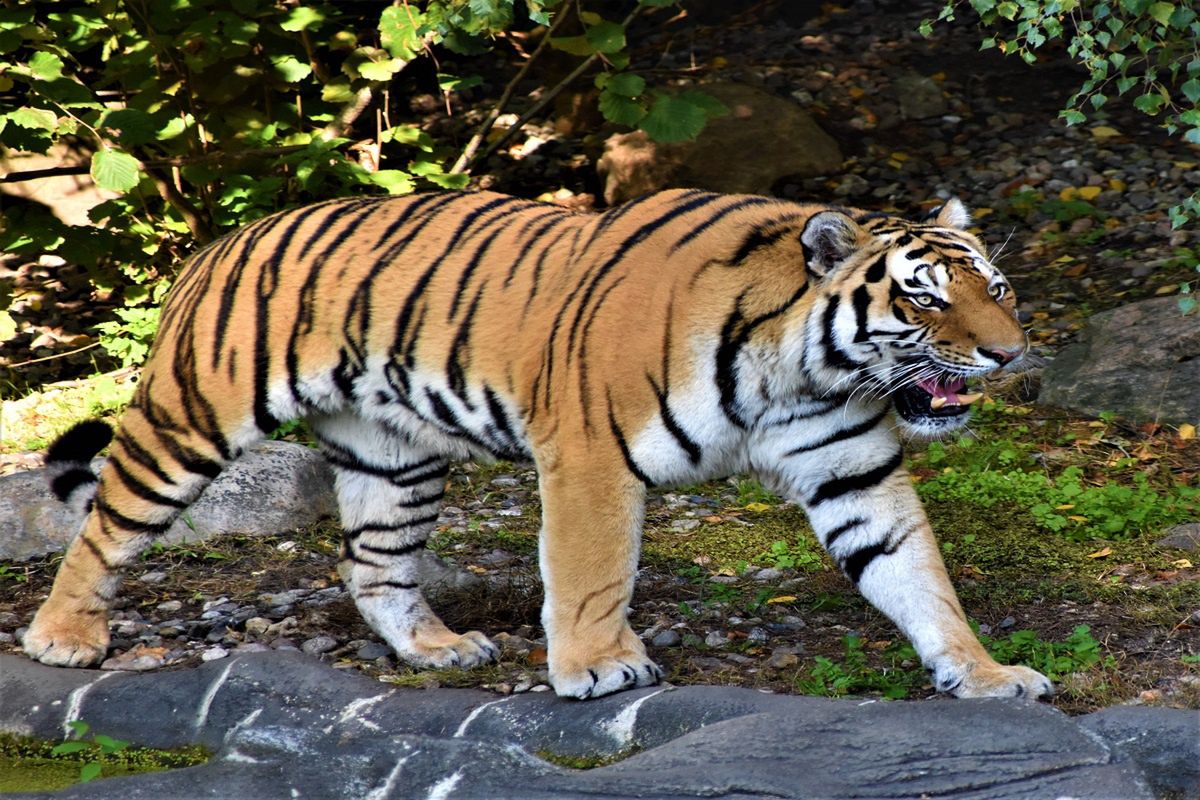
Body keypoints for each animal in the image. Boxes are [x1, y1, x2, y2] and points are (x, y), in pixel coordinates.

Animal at [21, 188, 1051, 700]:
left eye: (996, 288)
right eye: (923, 298)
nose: (1008, 353)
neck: (804, 368)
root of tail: (221, 240)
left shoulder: (853, 470)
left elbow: (918, 577)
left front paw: (986, 675)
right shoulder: (592, 455)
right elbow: (593, 572)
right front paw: (599, 668)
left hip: (395, 458)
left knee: (374, 568)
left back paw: (438, 649)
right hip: (192, 418)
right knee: (105, 526)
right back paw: (63, 639)